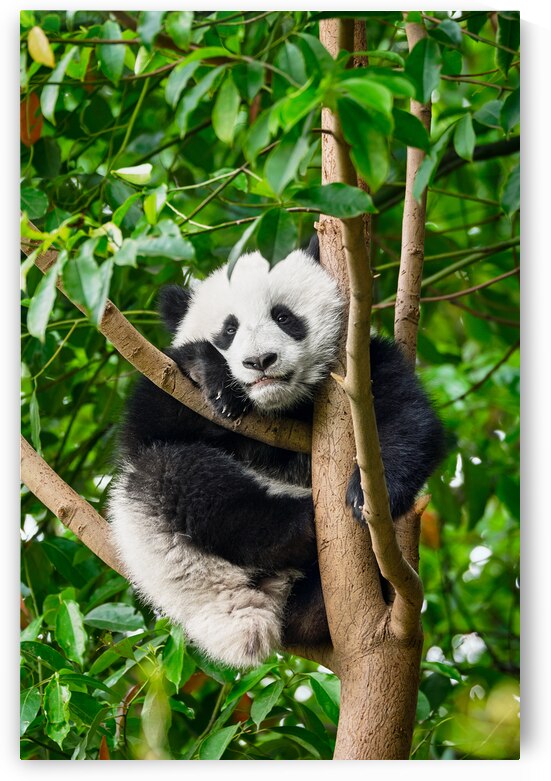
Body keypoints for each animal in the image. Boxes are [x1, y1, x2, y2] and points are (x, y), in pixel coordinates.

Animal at [108, 237, 445, 669]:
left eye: (283, 317)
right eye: (229, 329)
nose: (259, 361)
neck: (278, 407)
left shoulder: (359, 368)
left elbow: (408, 419)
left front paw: (367, 496)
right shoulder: (162, 387)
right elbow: (152, 423)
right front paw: (212, 375)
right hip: (157, 535)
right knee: (184, 480)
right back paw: (298, 523)